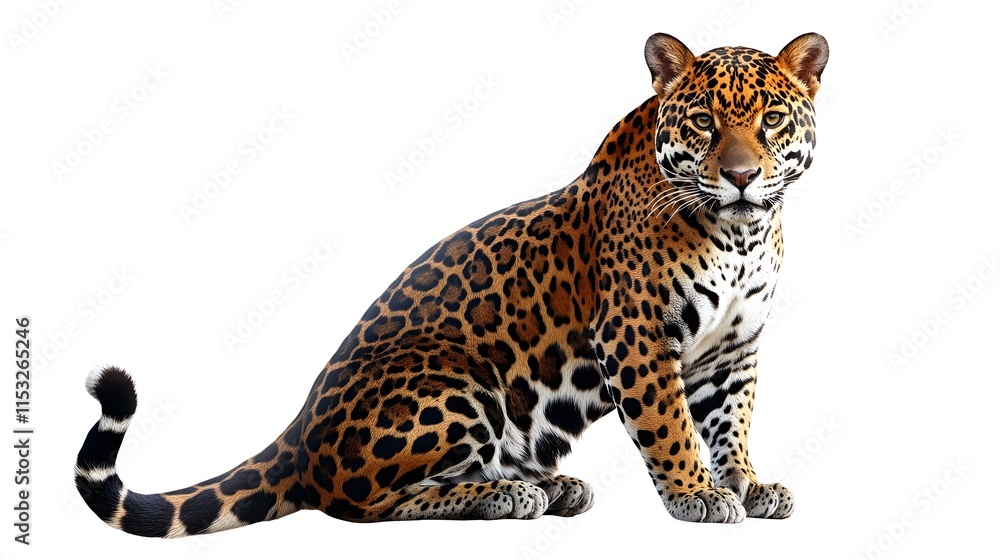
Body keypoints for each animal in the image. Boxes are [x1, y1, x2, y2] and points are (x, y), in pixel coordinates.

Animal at [75, 31, 828, 536]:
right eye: (703, 122)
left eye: (770, 119)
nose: (740, 175)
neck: (741, 232)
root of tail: (300, 433)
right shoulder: (636, 336)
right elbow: (668, 422)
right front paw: (696, 494)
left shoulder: (734, 348)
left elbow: (731, 423)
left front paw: (748, 485)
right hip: (455, 381)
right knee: (357, 505)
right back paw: (504, 498)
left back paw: (550, 486)